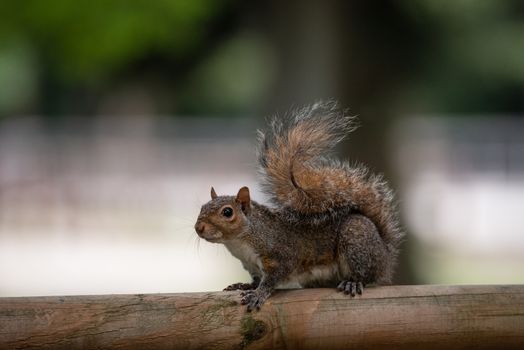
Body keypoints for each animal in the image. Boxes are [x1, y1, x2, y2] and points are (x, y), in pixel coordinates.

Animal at [194, 102, 404, 312]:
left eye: (227, 212)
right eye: (202, 207)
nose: (198, 228)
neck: (241, 241)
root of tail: (386, 255)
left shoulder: (281, 255)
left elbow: (272, 279)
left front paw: (258, 294)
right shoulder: (251, 265)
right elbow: (256, 280)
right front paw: (244, 285)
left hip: (356, 242)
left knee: (367, 275)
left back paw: (354, 282)